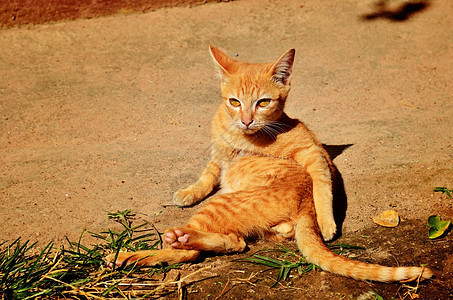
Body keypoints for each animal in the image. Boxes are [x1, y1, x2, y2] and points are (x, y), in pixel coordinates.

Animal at [104, 45, 432, 282]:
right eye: (234, 101)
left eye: (263, 102)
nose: (247, 120)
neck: (237, 134)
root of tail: (305, 207)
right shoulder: (218, 156)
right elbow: (208, 173)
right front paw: (190, 191)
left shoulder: (310, 151)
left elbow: (323, 181)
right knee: (234, 242)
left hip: (221, 205)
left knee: (200, 250)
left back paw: (133, 254)